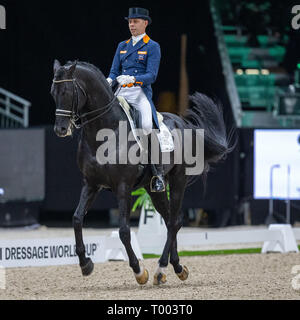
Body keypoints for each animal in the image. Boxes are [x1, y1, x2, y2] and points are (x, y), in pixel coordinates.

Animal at [51, 58, 234, 284]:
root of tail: (182, 123)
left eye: (67, 92)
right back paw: (176, 267)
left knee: (174, 221)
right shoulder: (91, 184)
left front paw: (139, 271)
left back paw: (161, 268)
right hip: (153, 188)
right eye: (53, 93)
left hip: (178, 180)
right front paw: (86, 264)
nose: (60, 130)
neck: (105, 132)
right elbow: (77, 219)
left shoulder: (123, 187)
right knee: (170, 221)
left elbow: (123, 231)